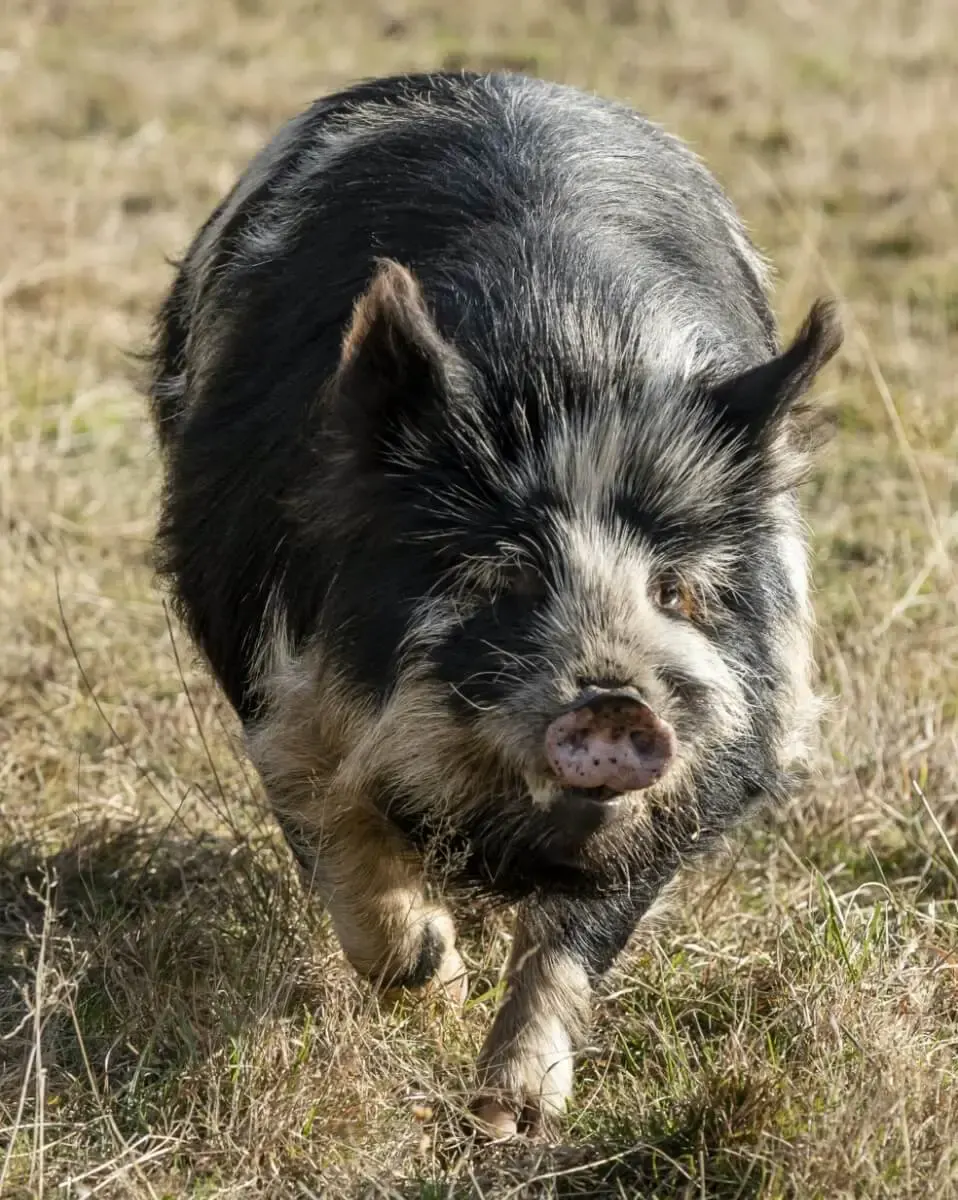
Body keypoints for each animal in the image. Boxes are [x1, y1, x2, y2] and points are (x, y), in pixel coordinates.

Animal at [147, 70, 842, 1136]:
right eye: (505, 574)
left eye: (674, 589)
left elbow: (579, 932)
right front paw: (438, 985)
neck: (575, 356)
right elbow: (349, 858)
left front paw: (511, 1118)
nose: (616, 703)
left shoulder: (713, 766)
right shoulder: (283, 703)